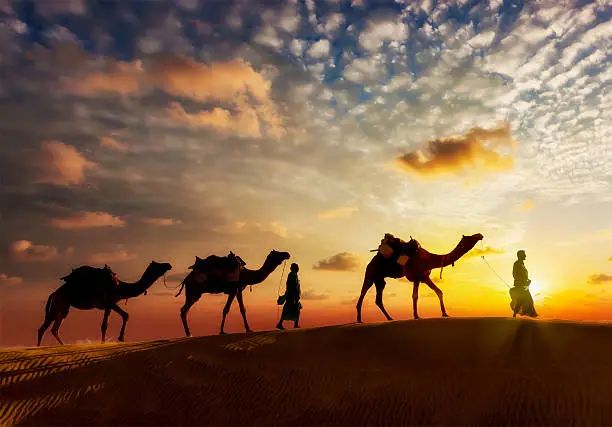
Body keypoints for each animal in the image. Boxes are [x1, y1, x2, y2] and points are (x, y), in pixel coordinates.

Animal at [36, 260, 172, 348]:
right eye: (158, 264)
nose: (169, 265)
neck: (120, 287)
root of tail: (54, 293)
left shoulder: (108, 306)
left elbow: (104, 325)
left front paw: (105, 342)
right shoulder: (110, 302)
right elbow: (126, 315)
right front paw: (120, 338)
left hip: (61, 308)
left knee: (52, 328)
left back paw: (60, 346)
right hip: (59, 304)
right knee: (45, 328)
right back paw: (40, 347)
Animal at [356, 234, 486, 324]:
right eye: (469, 237)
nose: (480, 235)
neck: (429, 259)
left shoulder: (425, 277)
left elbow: (439, 291)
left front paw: (445, 313)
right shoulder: (417, 277)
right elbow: (415, 296)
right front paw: (416, 315)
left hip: (380, 279)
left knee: (378, 298)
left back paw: (390, 318)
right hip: (371, 272)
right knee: (363, 291)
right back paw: (359, 319)